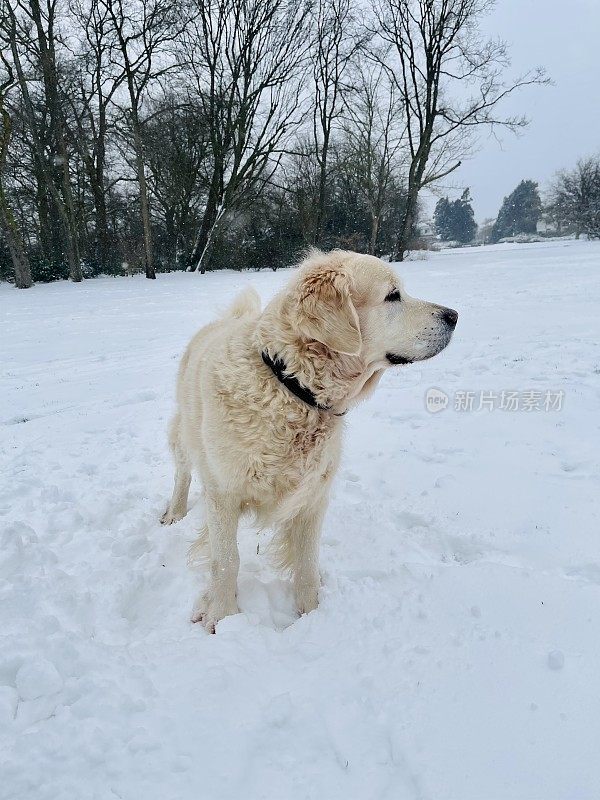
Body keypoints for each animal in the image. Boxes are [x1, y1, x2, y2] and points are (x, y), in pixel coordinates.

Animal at [162, 247, 458, 628]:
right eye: (393, 295)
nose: (454, 315)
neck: (289, 386)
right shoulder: (223, 493)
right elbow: (226, 561)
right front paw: (222, 616)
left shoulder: (312, 498)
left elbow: (306, 565)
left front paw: (311, 614)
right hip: (184, 434)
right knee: (182, 473)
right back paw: (174, 512)